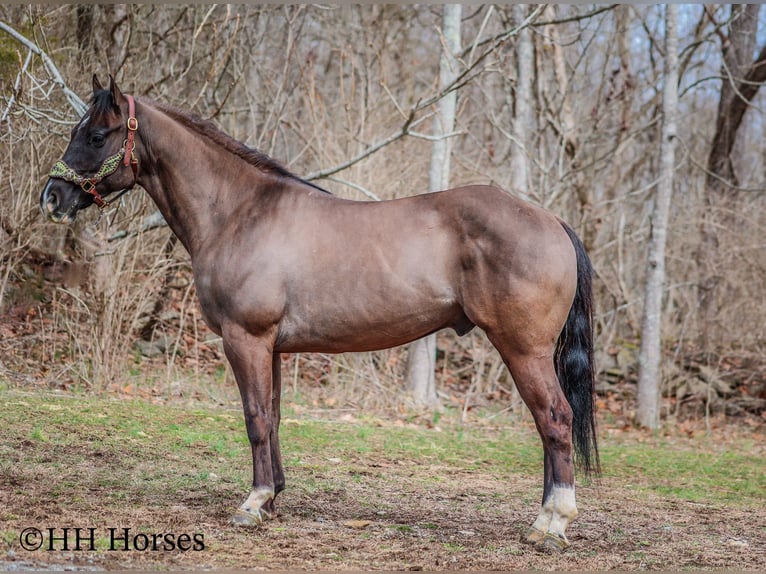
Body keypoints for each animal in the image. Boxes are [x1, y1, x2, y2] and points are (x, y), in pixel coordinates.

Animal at [40, 75, 599, 552]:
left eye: (96, 135)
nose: (53, 196)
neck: (239, 212)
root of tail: (551, 220)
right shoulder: (272, 346)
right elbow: (274, 417)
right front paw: (273, 496)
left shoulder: (245, 338)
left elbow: (255, 417)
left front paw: (253, 504)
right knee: (548, 425)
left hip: (523, 349)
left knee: (554, 419)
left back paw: (552, 524)